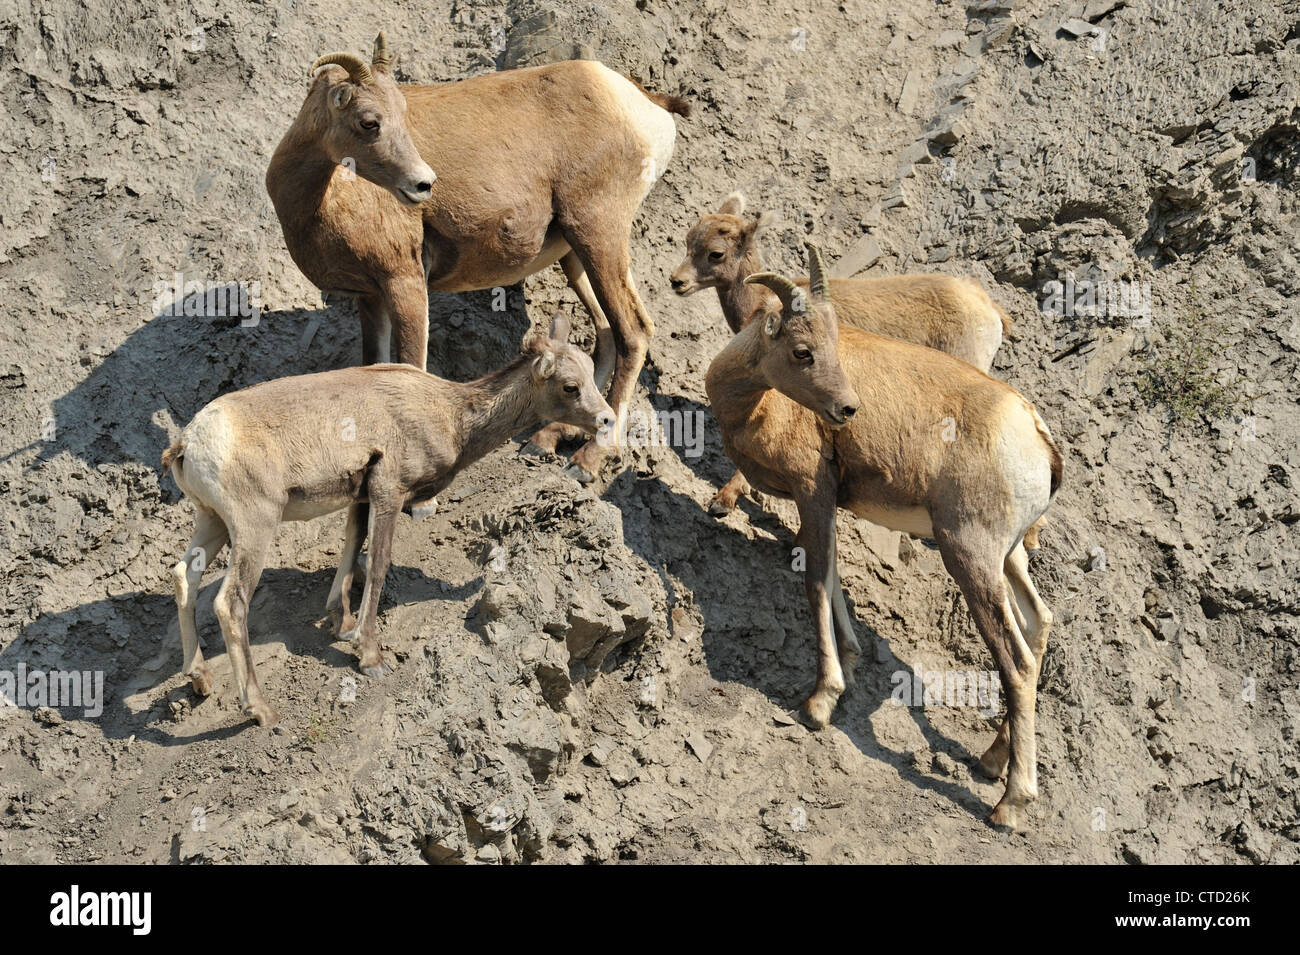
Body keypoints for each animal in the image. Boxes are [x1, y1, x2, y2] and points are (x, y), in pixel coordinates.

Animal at [163, 317, 613, 727]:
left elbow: (352, 546)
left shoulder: (361, 496)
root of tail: (189, 442)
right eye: (570, 386)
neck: (450, 416)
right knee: (230, 603)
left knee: (184, 577)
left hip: (212, 520)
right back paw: (262, 711)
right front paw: (369, 657)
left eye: (589, 373)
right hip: (254, 525)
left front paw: (341, 623)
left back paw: (199, 679)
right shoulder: (389, 492)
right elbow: (377, 565)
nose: (607, 420)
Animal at [265, 32, 691, 485]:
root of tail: (642, 102)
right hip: (577, 256)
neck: (323, 200)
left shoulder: (405, 282)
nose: (423, 184)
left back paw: (588, 459)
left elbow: (409, 366)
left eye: (402, 114)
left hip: (598, 233)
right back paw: (547, 440)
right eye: (369, 121)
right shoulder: (371, 297)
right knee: (606, 332)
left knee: (633, 331)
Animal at [707, 246, 1060, 831]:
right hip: (1007, 560)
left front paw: (821, 702)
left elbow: (817, 584)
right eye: (805, 350)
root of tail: (1035, 433)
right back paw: (990, 761)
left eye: (825, 346)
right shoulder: (826, 505)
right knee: (1039, 625)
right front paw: (849, 662)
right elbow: (833, 579)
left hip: (970, 558)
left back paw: (1010, 803)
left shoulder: (813, 492)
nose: (847, 410)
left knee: (1017, 661)